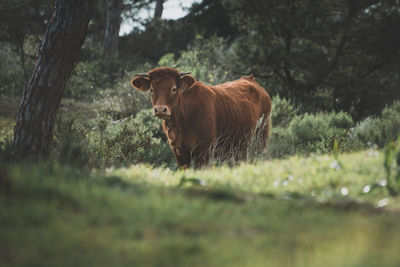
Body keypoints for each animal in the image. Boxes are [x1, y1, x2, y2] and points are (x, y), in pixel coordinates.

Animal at [131, 67, 272, 168]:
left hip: (262, 135)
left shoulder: (204, 151)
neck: (181, 122)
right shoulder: (179, 152)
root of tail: (250, 79)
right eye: (151, 89)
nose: (160, 109)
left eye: (174, 89)